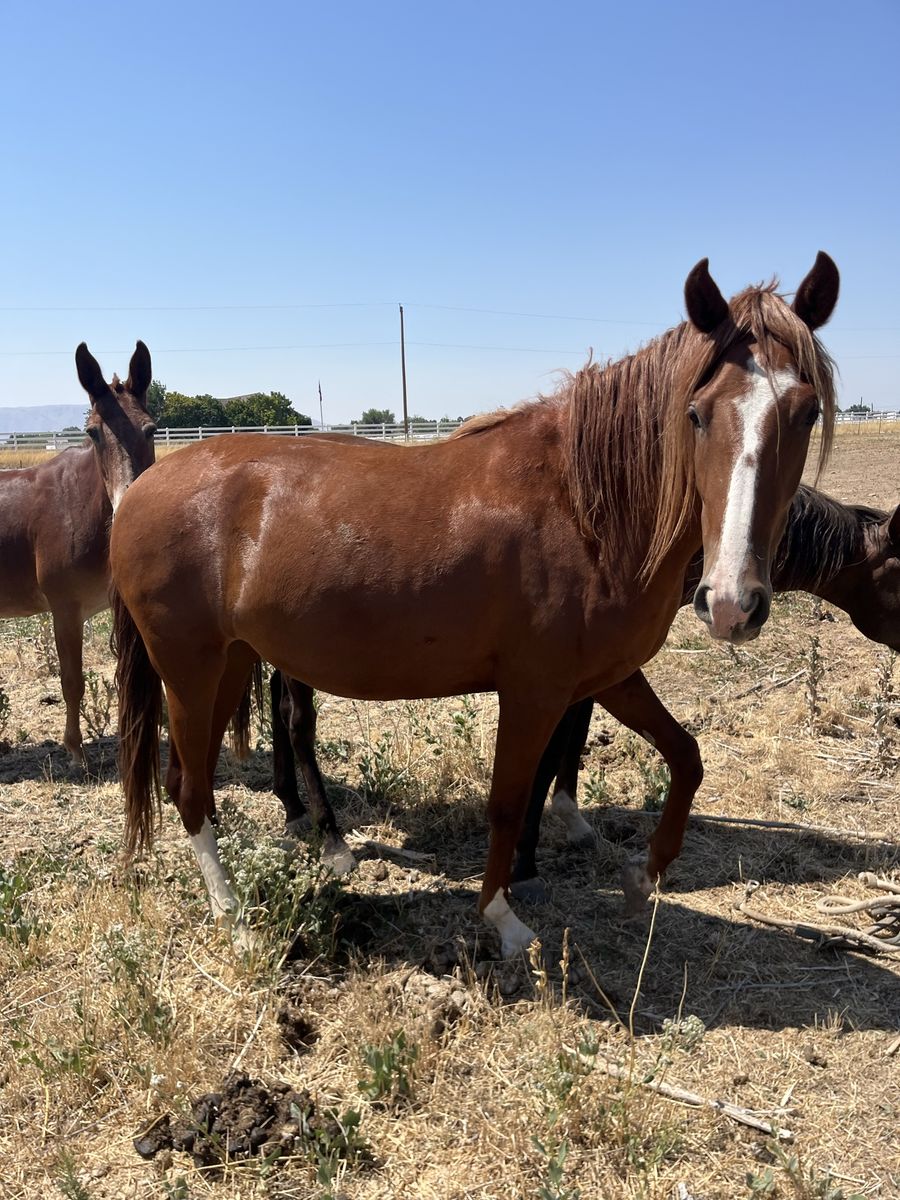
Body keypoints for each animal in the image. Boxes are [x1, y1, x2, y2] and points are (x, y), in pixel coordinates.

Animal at [0, 343, 156, 762]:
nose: (128, 511)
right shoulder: (65, 610)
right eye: (93, 432)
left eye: (151, 429)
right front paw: (75, 751)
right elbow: (72, 681)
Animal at [110, 255, 839, 955]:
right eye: (697, 412)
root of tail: (141, 489)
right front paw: (502, 918)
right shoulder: (534, 690)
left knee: (193, 777)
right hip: (190, 670)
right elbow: (509, 802)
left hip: (231, 662)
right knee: (190, 789)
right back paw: (233, 915)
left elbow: (687, 757)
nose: (732, 603)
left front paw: (643, 873)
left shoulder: (605, 677)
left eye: (805, 412)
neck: (583, 508)